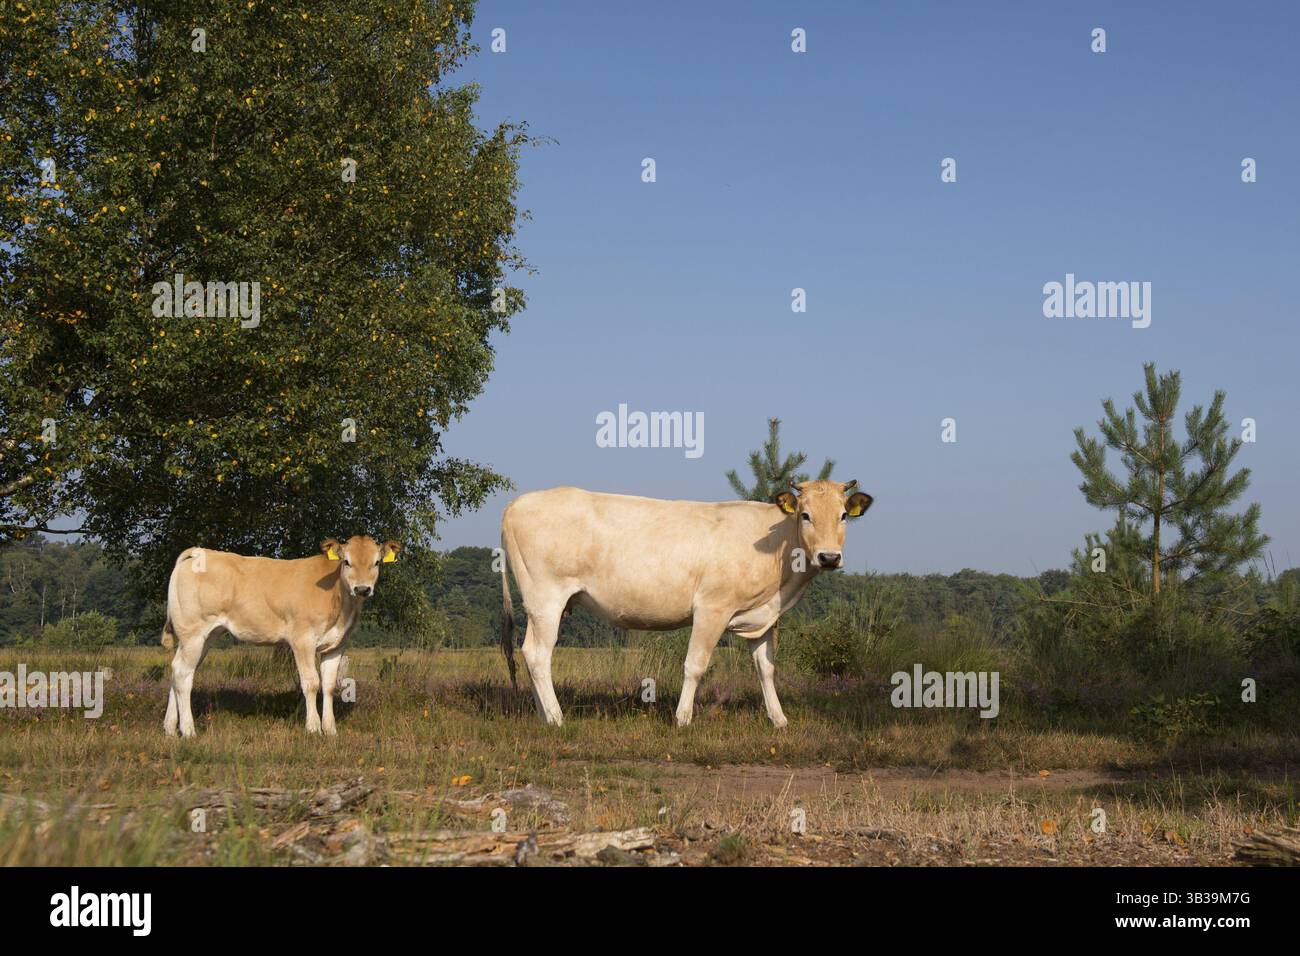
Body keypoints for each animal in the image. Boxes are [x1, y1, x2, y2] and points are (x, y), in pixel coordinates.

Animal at [161, 535, 400, 737]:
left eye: (377, 562)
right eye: (347, 562)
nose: (362, 589)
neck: (340, 604)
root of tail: (199, 552)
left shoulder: (337, 645)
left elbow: (329, 685)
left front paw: (330, 729)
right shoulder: (302, 639)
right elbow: (311, 683)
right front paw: (313, 727)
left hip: (206, 636)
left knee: (177, 669)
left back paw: (171, 728)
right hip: (194, 632)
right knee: (183, 673)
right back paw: (188, 730)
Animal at [498, 479, 873, 728]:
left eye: (843, 515)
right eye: (805, 515)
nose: (829, 557)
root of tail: (519, 502)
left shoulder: (764, 616)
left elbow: (766, 668)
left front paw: (778, 719)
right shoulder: (712, 607)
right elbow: (696, 664)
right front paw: (682, 718)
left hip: (539, 604)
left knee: (529, 653)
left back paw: (542, 714)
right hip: (546, 597)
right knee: (538, 654)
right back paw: (556, 717)